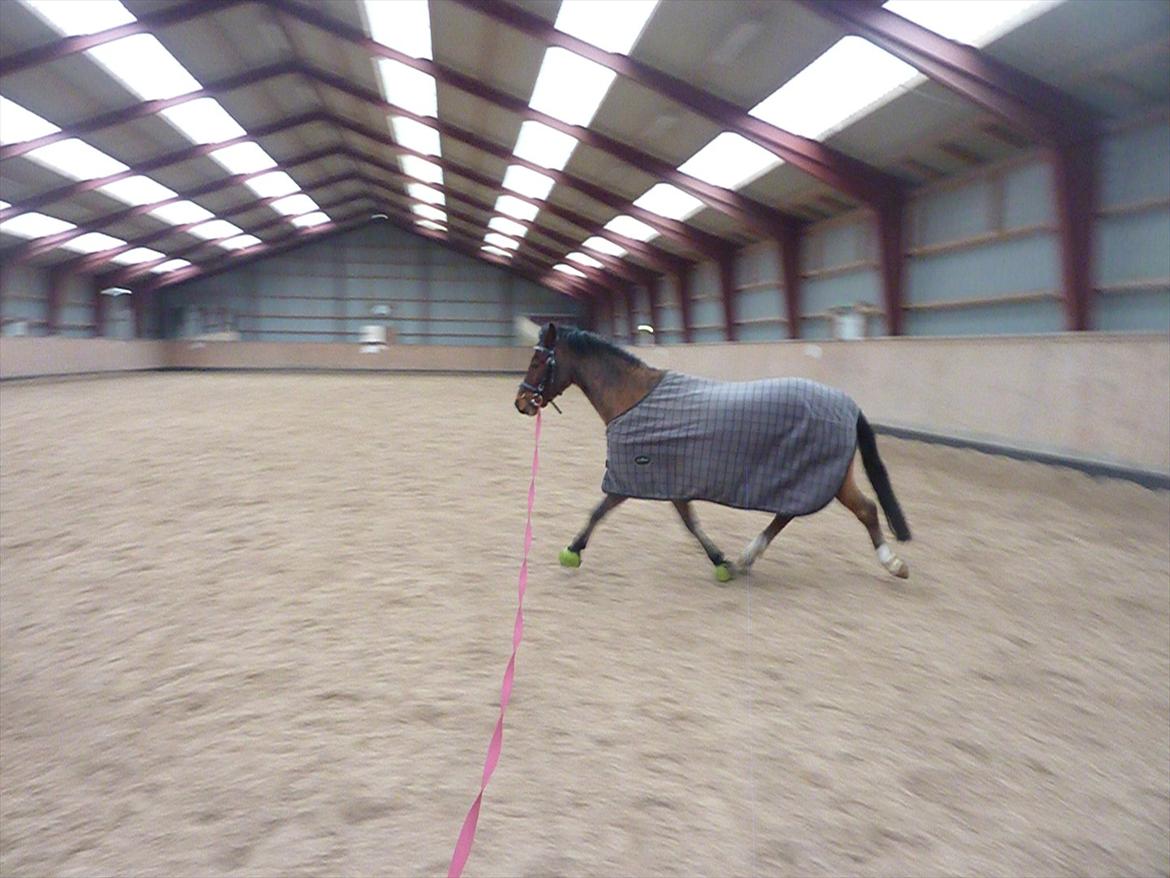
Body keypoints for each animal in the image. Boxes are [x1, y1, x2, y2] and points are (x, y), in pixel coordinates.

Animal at [514, 322, 911, 582]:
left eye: (537, 362)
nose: (521, 402)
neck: (632, 398)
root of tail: (848, 404)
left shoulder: (636, 475)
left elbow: (600, 511)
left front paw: (572, 550)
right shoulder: (669, 482)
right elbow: (689, 521)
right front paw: (720, 560)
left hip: (825, 476)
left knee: (864, 510)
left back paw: (893, 564)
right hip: (816, 477)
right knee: (798, 512)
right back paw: (748, 557)